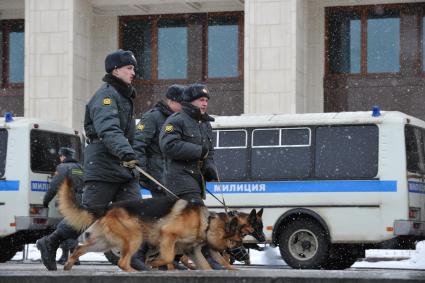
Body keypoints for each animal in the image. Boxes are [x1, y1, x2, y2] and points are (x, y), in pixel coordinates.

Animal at [58, 180, 247, 272]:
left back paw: (68, 265)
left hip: (103, 243)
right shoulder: (168, 236)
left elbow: (205, 266)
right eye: (236, 242)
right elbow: (168, 258)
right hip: (135, 238)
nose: (242, 255)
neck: (206, 222)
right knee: (122, 262)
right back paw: (136, 272)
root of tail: (108, 207)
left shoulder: (191, 250)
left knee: (80, 249)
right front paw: (154, 263)